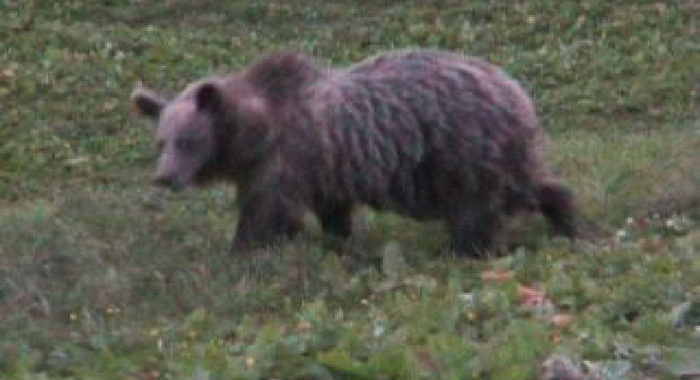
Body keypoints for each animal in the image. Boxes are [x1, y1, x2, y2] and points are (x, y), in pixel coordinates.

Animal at [130, 47, 576, 255]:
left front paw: (242, 250)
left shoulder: (290, 157)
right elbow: (331, 215)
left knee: (476, 209)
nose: (164, 176)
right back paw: (568, 222)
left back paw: (463, 249)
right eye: (161, 142)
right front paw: (335, 244)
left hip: (461, 151)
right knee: (530, 185)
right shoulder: (323, 169)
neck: (256, 134)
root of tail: (517, 90)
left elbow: (266, 211)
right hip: (493, 155)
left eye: (188, 140)